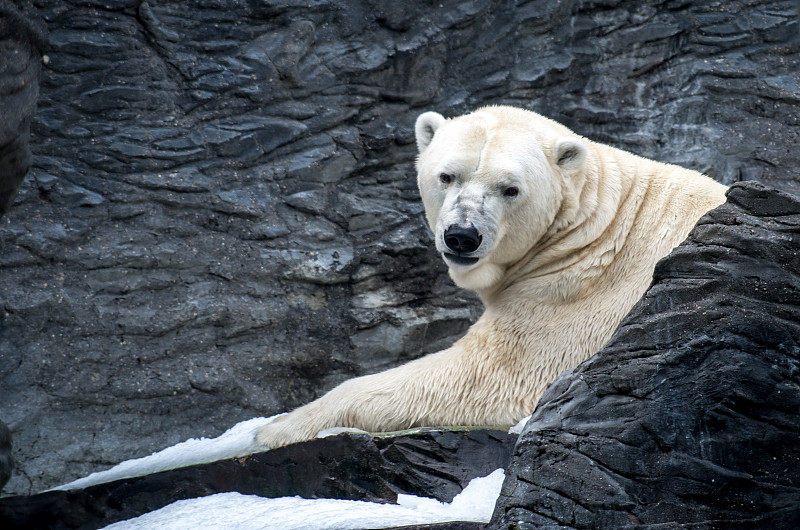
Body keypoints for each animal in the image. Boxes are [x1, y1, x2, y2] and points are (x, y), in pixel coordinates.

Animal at [255, 105, 724, 448]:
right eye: (447, 175)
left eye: (510, 189)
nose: (462, 236)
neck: (593, 230)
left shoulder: (566, 300)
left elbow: (484, 378)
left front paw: (270, 429)